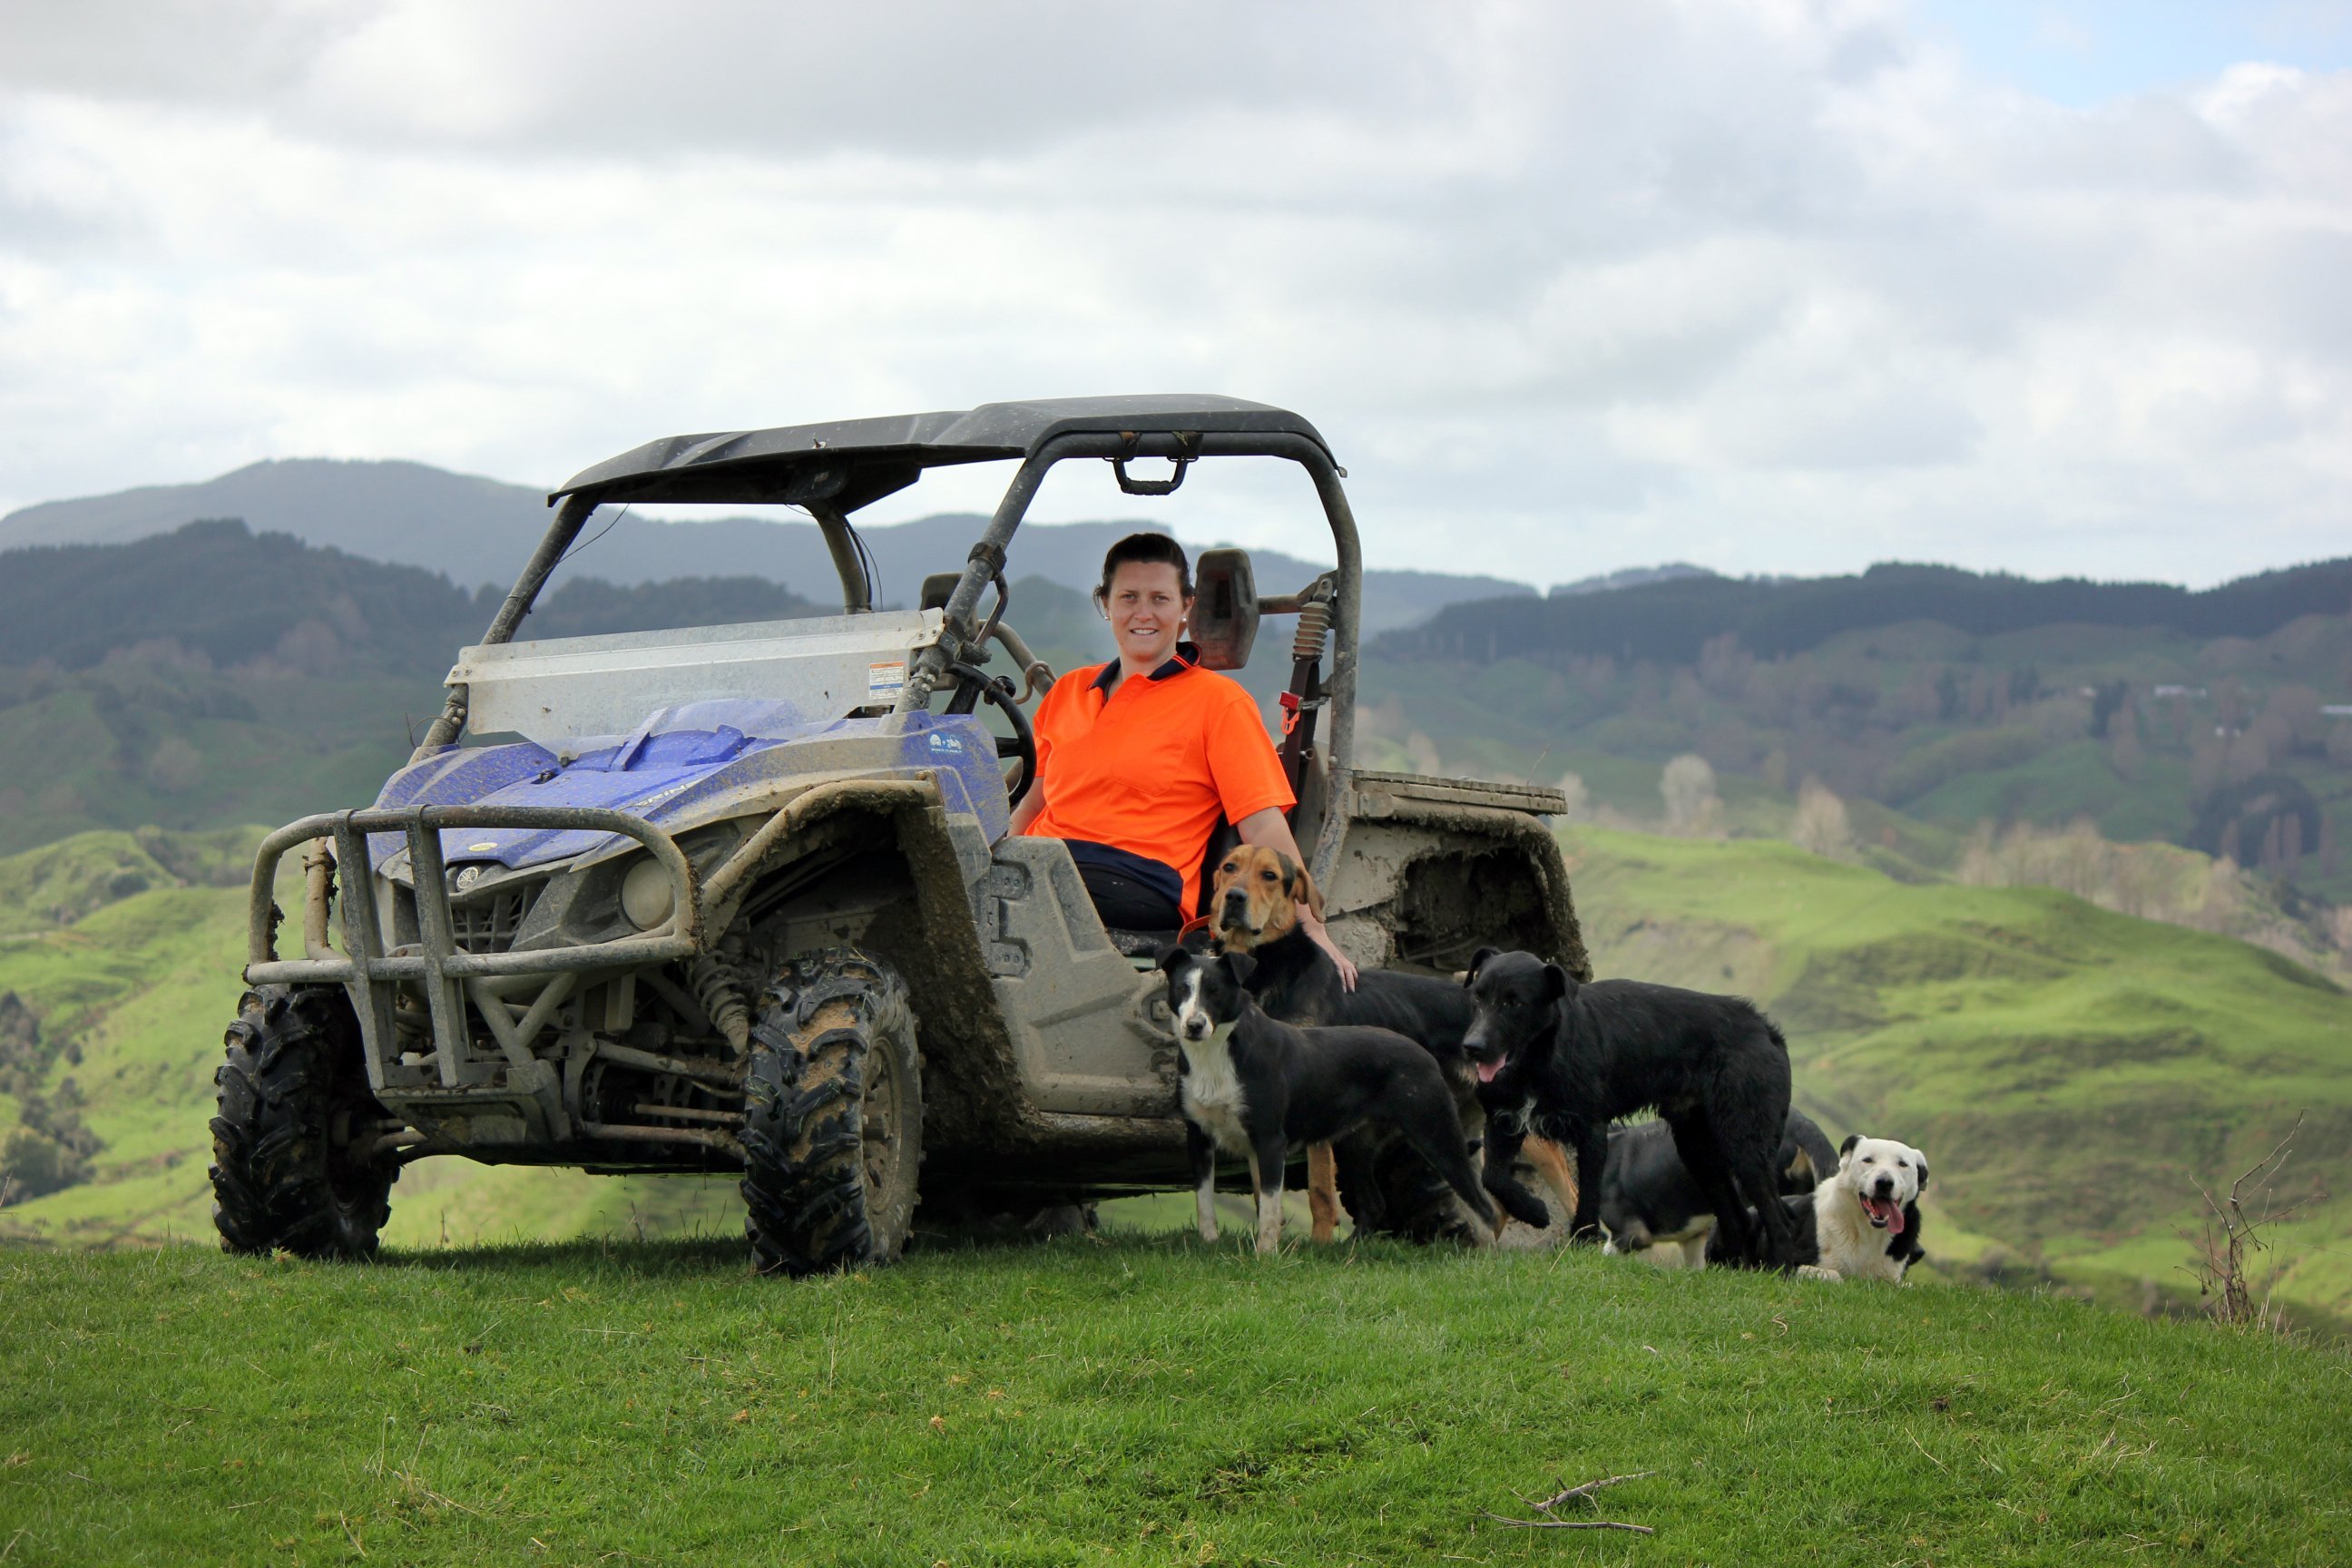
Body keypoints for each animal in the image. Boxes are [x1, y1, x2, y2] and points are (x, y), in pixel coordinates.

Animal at [1161, 940, 1504, 1259]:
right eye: (1182, 989)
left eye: (1215, 992)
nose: (1194, 1026)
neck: (1218, 1053)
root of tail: (1424, 1054)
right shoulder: (1198, 1136)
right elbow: (1205, 1199)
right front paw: (1209, 1244)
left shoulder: (1271, 1140)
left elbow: (1270, 1207)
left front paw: (1265, 1256)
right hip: (1356, 1147)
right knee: (1374, 1203)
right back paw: (1348, 1250)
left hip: (1437, 1134)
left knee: (1484, 1206)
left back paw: (1486, 1258)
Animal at [1467, 949, 1797, 1269]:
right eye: (1478, 996)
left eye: (1514, 1002)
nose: (1471, 1047)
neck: (1538, 1059)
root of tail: (1765, 1029)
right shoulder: (1503, 1122)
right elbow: (1493, 1177)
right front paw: (1533, 1211)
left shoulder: (1591, 1133)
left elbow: (1588, 1195)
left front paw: (1583, 1241)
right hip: (1698, 1150)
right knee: (1738, 1218)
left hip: (1745, 1144)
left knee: (1778, 1218)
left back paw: (1780, 1270)